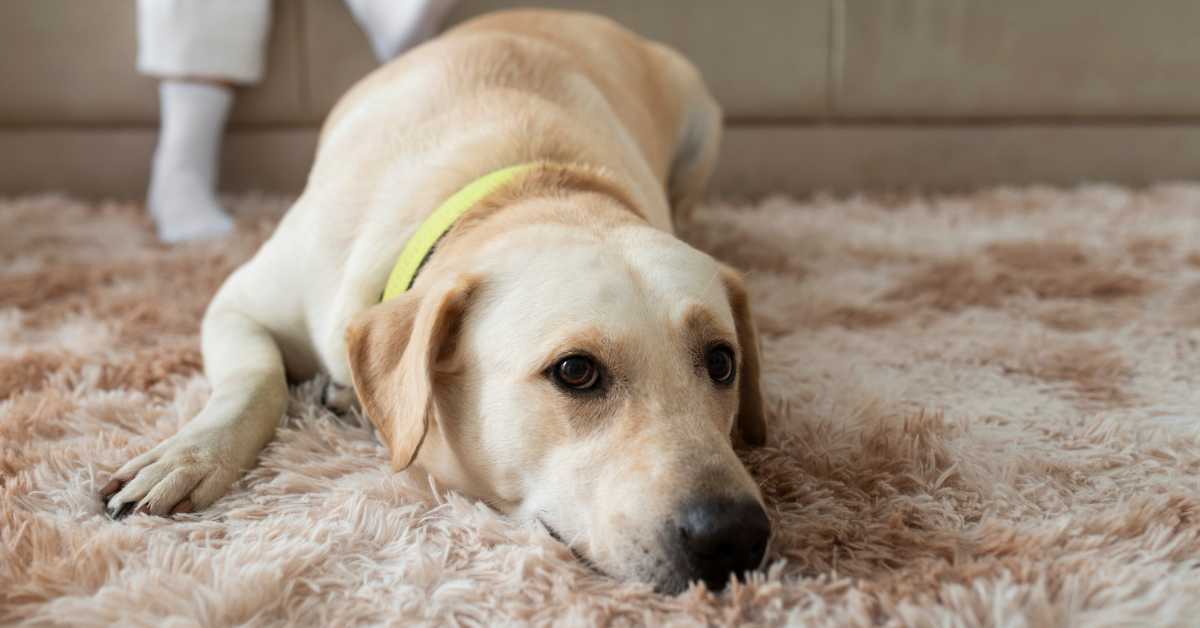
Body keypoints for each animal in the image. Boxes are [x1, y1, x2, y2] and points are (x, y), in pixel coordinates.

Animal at [105, 7, 777, 593]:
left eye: (722, 362)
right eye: (576, 372)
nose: (734, 536)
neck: (529, 184)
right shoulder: (236, 304)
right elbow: (255, 383)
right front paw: (189, 456)